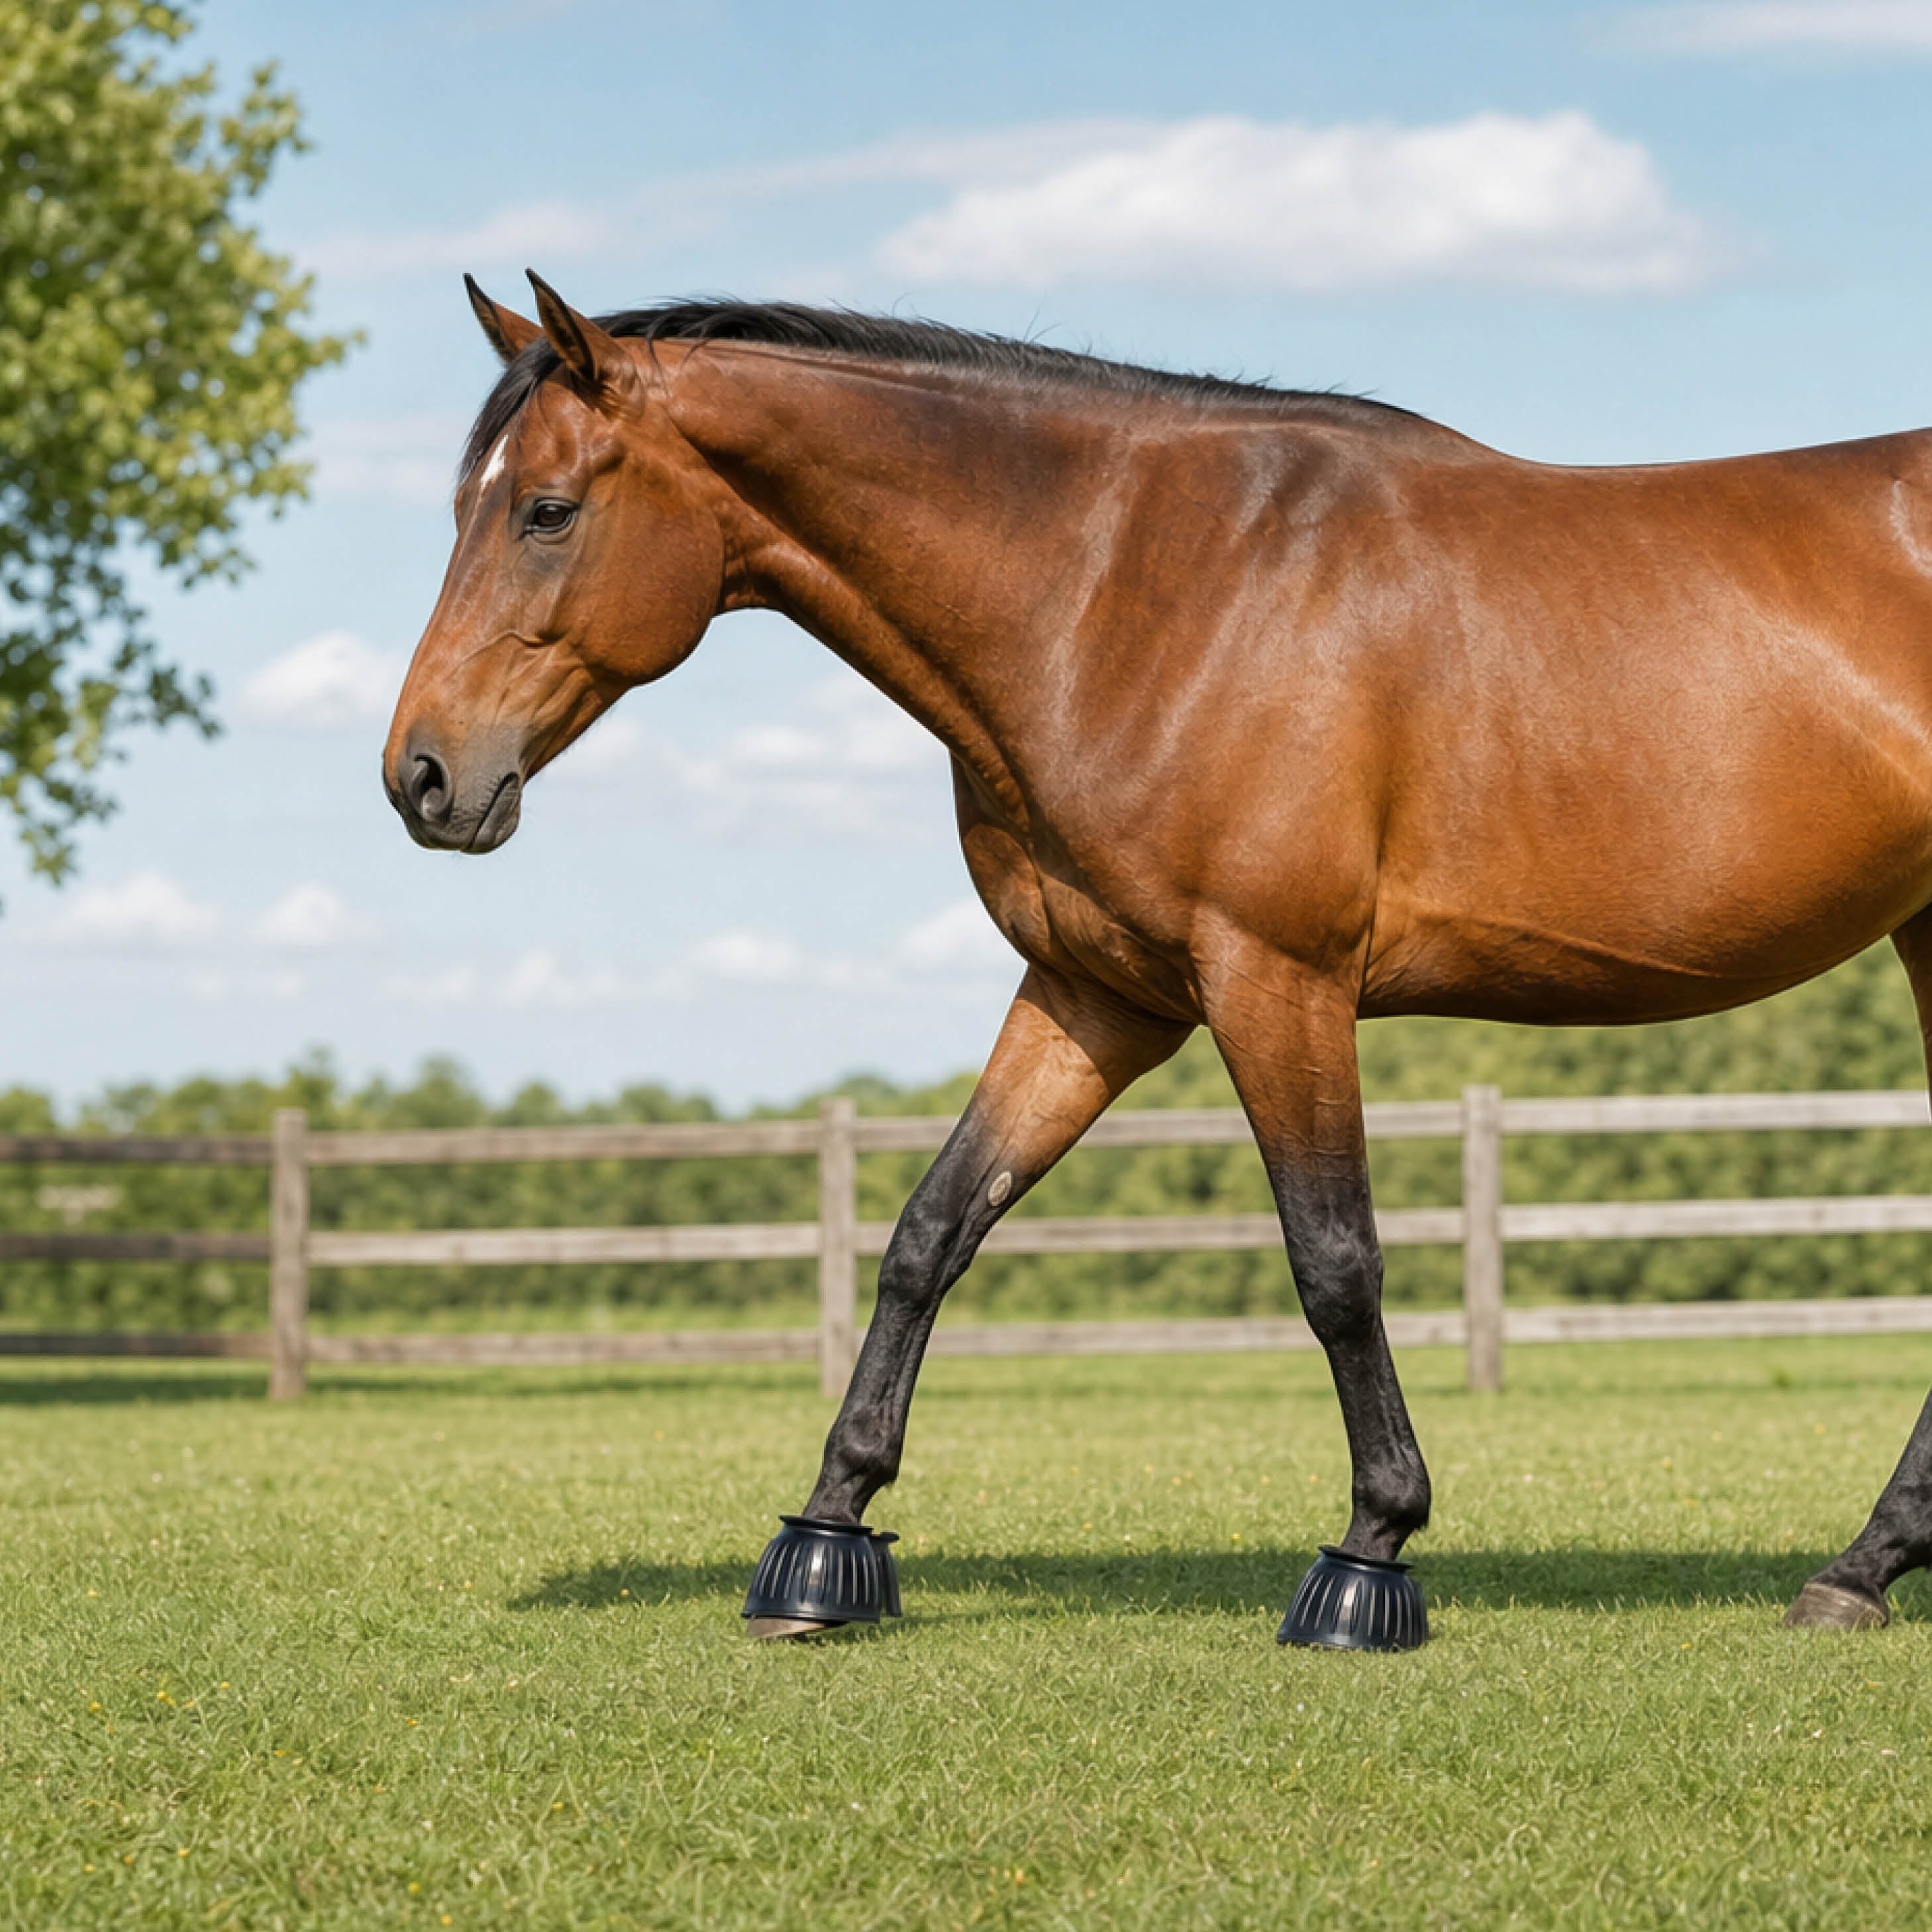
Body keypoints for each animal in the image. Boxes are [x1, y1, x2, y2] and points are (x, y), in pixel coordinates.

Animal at [384, 270, 1932, 1645]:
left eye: (545, 509)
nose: (422, 777)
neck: (1134, 591)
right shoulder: (1097, 994)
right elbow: (929, 1234)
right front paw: (823, 1543)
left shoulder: (1273, 980)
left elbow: (1333, 1260)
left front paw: (1369, 1557)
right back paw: (1860, 1568)